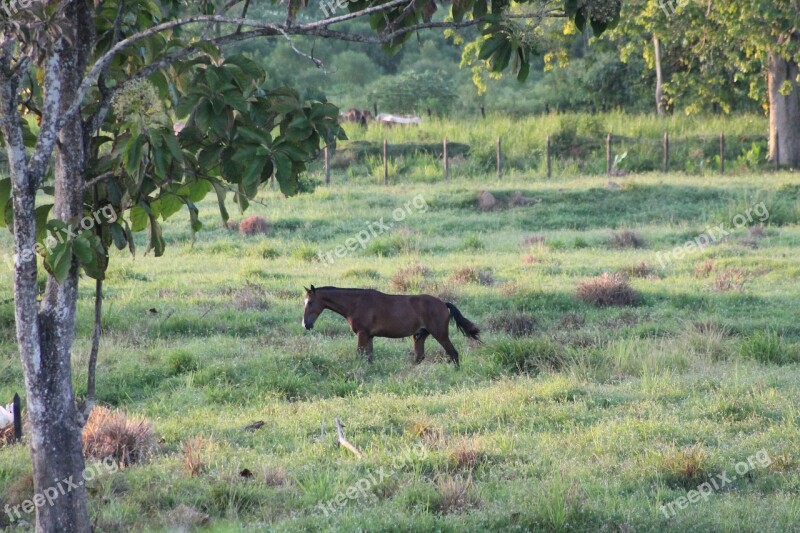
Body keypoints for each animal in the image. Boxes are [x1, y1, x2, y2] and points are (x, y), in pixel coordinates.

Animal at [302, 284, 478, 368]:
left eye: (310, 302)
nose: (306, 324)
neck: (356, 303)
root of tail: (443, 304)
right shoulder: (369, 336)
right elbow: (369, 357)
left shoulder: (362, 334)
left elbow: (360, 355)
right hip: (420, 335)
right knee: (419, 357)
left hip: (439, 334)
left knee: (453, 354)